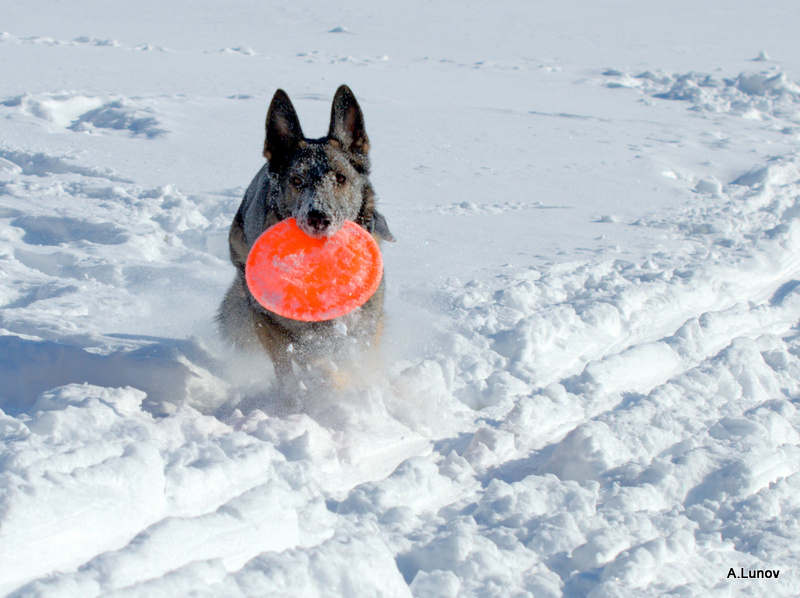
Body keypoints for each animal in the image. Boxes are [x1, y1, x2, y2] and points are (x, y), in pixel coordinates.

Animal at [217, 83, 396, 394]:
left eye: (340, 178)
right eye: (297, 181)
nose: (318, 217)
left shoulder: (367, 323)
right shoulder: (275, 325)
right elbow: (312, 363)